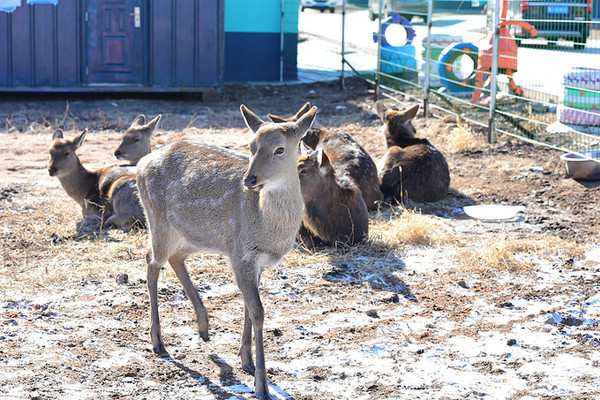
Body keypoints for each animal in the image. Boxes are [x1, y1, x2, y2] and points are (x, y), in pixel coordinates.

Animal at [134, 104, 316, 400]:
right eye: (251, 146)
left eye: (280, 149)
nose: (250, 179)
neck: (267, 227)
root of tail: (140, 164)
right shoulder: (241, 252)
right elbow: (258, 311)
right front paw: (262, 386)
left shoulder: (253, 260)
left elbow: (249, 307)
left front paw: (247, 361)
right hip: (157, 219)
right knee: (151, 261)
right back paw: (158, 341)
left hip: (195, 234)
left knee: (175, 257)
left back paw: (204, 326)